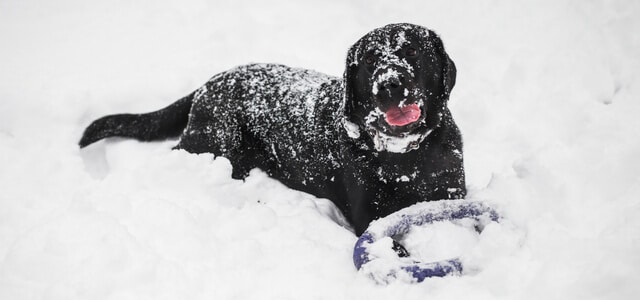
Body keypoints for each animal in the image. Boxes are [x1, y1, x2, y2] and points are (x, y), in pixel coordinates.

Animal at [81, 23, 470, 236]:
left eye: (412, 51)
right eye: (371, 59)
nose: (389, 84)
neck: (406, 157)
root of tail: (209, 83)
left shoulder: (453, 193)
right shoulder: (370, 215)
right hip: (216, 142)